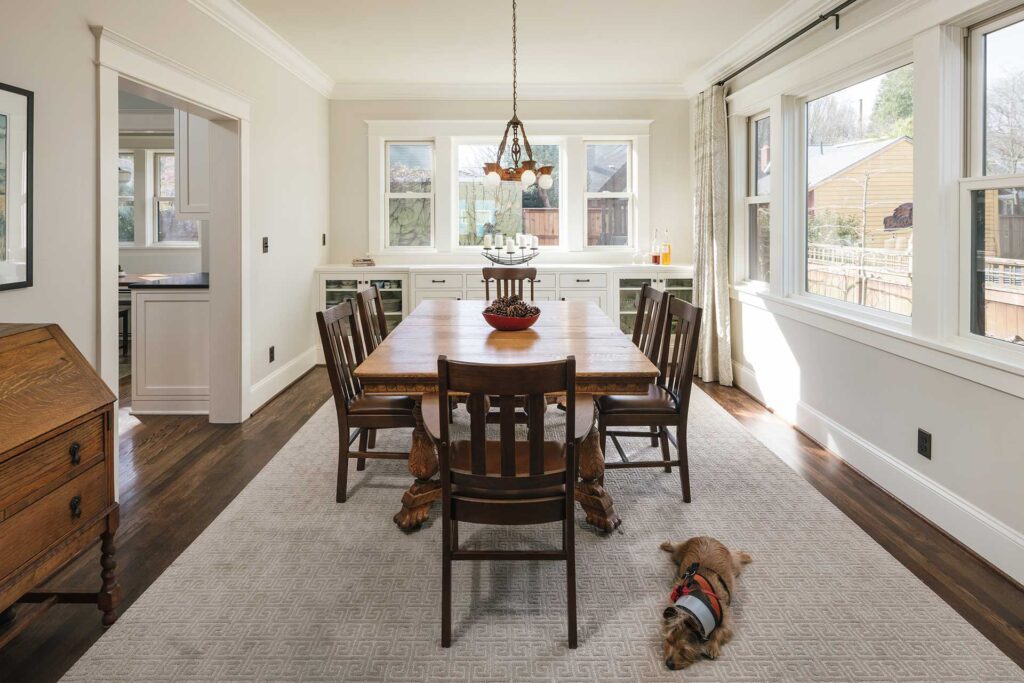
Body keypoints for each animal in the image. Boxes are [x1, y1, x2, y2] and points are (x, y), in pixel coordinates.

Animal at [655, 536, 753, 671]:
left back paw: (745, 556)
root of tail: (707, 537)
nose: (668, 664)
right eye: (669, 641)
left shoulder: (726, 620)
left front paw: (712, 646)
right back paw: (667, 545)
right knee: (676, 547)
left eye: (684, 651)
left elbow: (721, 631)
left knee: (736, 557)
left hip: (733, 566)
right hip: (680, 552)